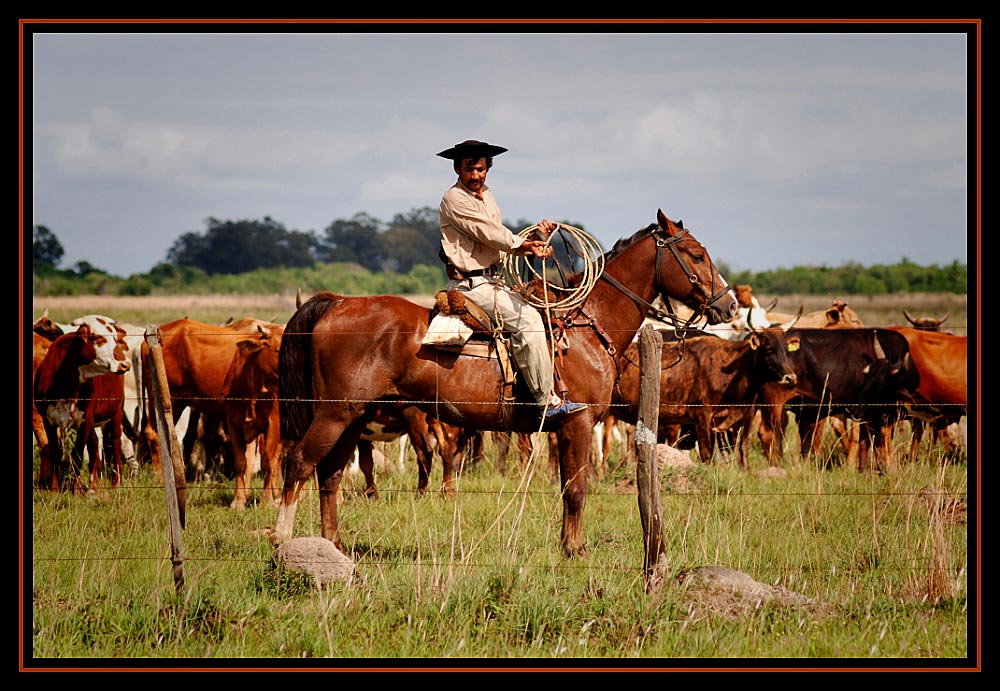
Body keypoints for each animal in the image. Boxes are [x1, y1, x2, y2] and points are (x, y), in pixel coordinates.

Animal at [270, 209, 740, 556]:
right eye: (695, 254)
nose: (729, 306)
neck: (586, 325)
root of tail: (336, 302)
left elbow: (569, 488)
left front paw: (569, 546)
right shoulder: (577, 423)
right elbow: (577, 489)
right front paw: (574, 551)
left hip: (353, 417)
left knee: (330, 473)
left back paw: (333, 545)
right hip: (334, 413)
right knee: (300, 462)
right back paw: (281, 539)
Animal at [608, 326, 796, 470]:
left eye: (787, 350)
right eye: (769, 349)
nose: (791, 378)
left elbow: (739, 447)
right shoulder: (701, 416)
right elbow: (707, 454)